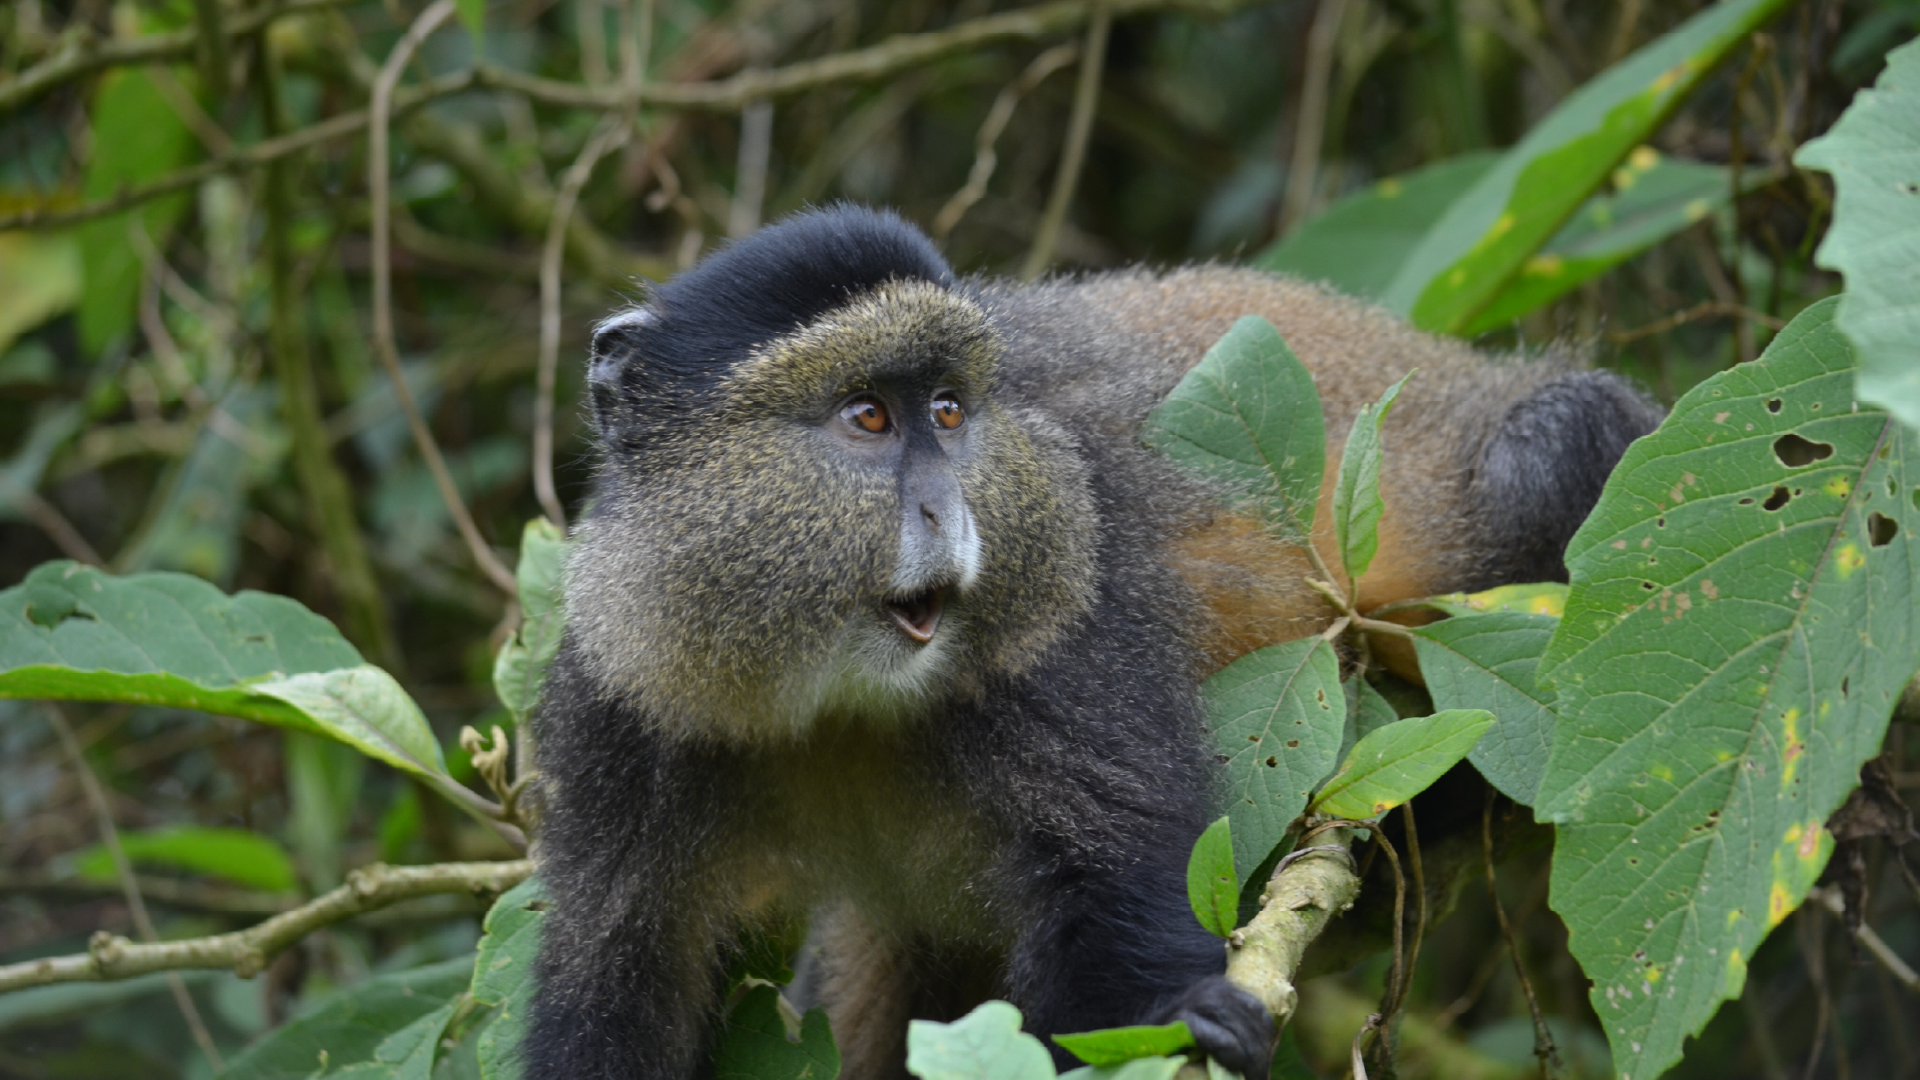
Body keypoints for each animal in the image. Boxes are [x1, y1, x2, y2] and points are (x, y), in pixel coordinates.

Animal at [524, 205, 1661, 1080]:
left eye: (949, 411)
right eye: (867, 417)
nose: (948, 510)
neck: (839, 691)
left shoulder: (1076, 619)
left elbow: (1110, 890)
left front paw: (1185, 1019)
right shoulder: (623, 697)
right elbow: (621, 974)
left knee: (1562, 436)